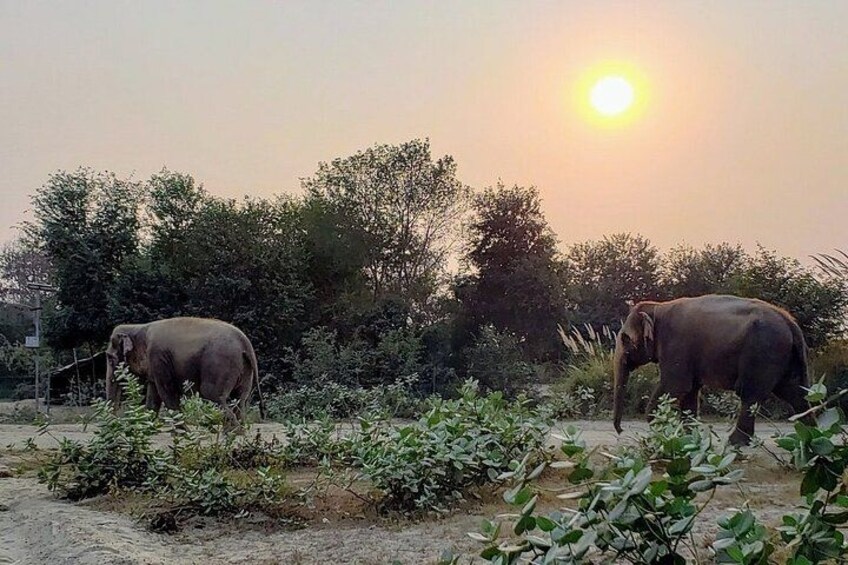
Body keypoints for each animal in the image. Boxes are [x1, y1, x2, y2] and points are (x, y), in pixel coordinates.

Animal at [105, 317, 266, 427]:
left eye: (110, 358)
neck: (139, 327)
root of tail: (245, 342)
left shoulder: (158, 357)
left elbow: (167, 392)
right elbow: (153, 398)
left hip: (220, 364)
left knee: (213, 395)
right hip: (245, 369)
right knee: (239, 400)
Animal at [612, 294, 810, 446]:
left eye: (624, 338)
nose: (620, 430)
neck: (658, 307)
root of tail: (791, 323)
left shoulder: (676, 344)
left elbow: (676, 385)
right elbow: (690, 392)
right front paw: (688, 437)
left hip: (763, 352)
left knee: (750, 394)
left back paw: (735, 442)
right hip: (785, 357)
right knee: (795, 393)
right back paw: (808, 437)